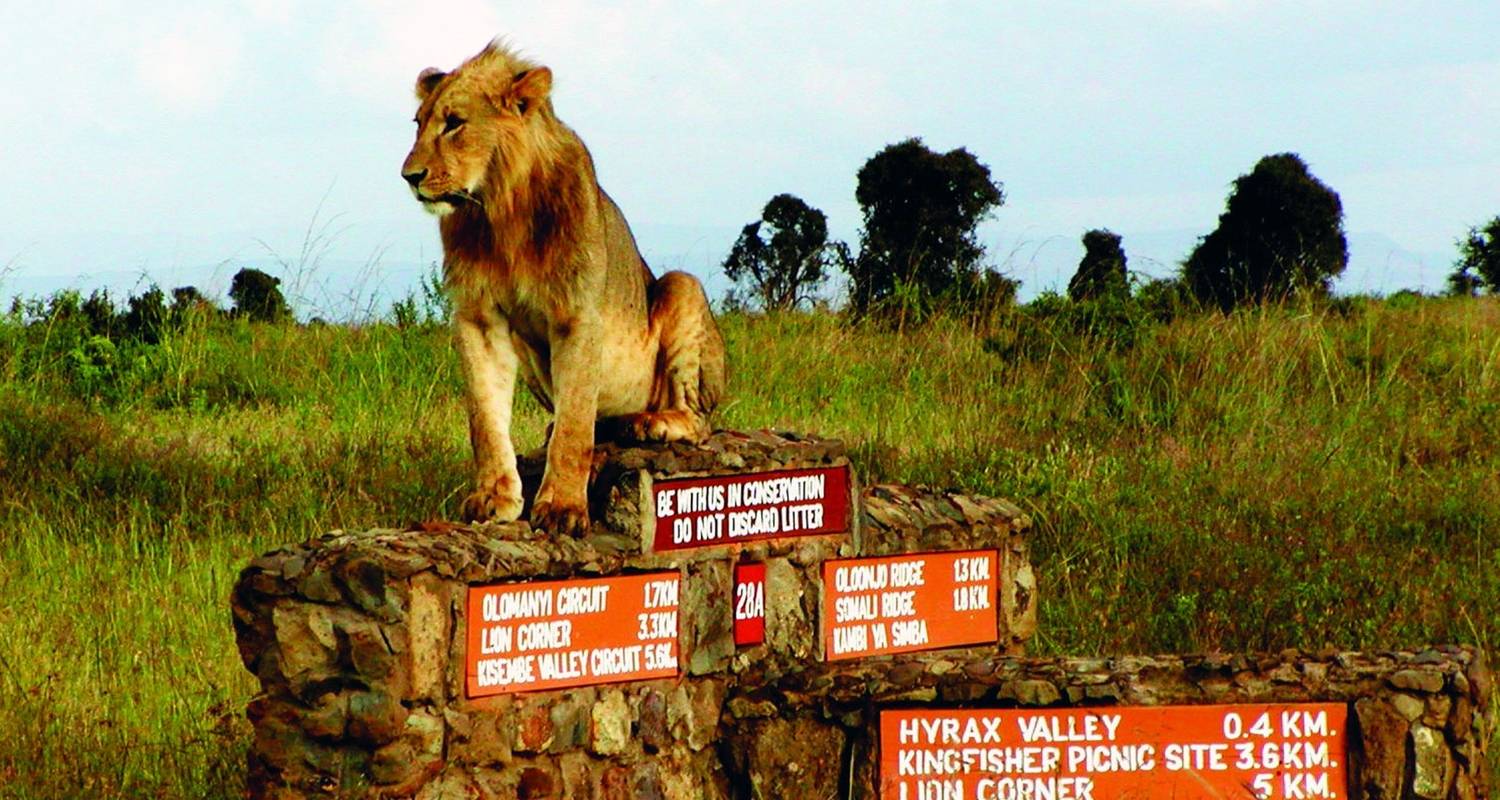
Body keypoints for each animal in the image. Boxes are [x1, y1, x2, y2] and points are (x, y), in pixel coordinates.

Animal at [399, 39, 726, 537]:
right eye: (418, 124)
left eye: (454, 123)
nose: (409, 176)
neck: (501, 208)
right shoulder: (478, 317)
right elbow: (484, 417)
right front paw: (494, 498)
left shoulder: (577, 313)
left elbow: (575, 423)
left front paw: (562, 508)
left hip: (680, 287)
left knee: (698, 420)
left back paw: (649, 423)